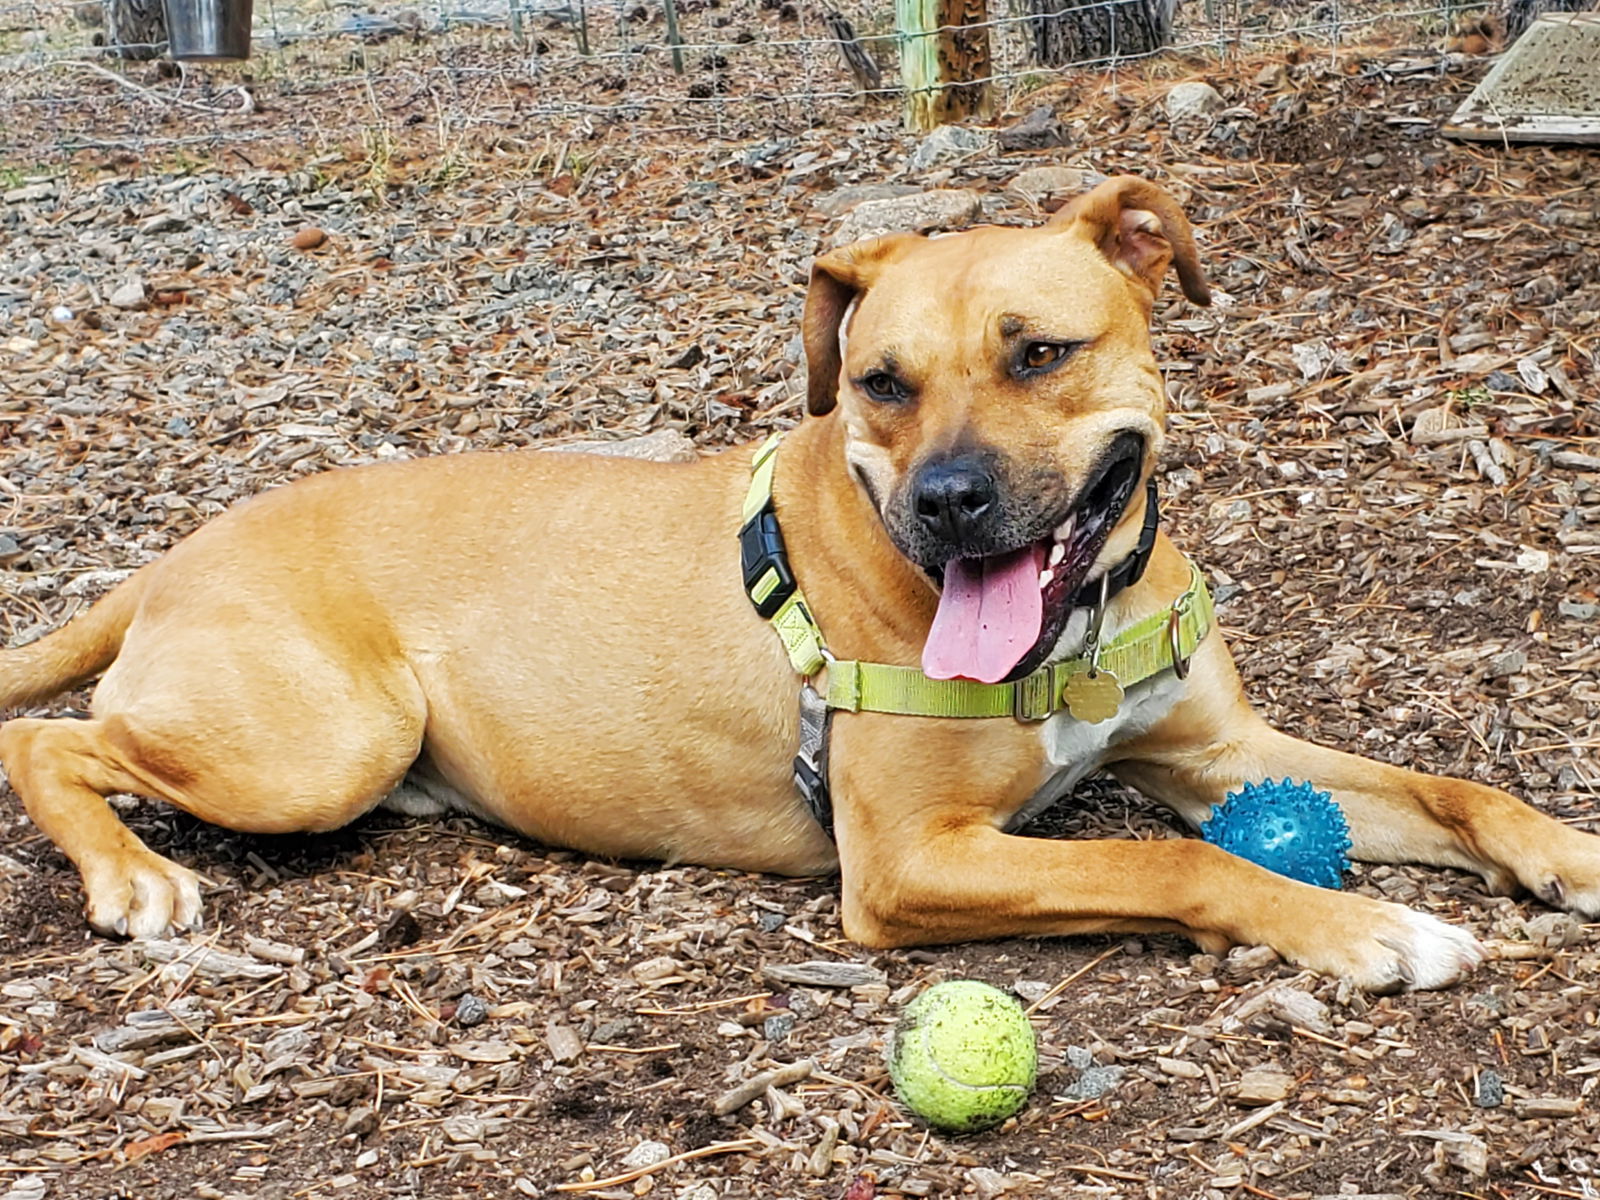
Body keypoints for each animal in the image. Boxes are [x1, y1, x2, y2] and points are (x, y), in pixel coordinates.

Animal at [3, 176, 1600, 985]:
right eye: (880, 383)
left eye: (1041, 351)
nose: (949, 504)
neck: (1073, 626)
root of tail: (177, 552)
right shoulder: (910, 863)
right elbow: (1175, 861)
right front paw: (1365, 928)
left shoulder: (1218, 753)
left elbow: (1458, 788)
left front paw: (1568, 851)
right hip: (321, 744)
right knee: (51, 739)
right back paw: (132, 875)